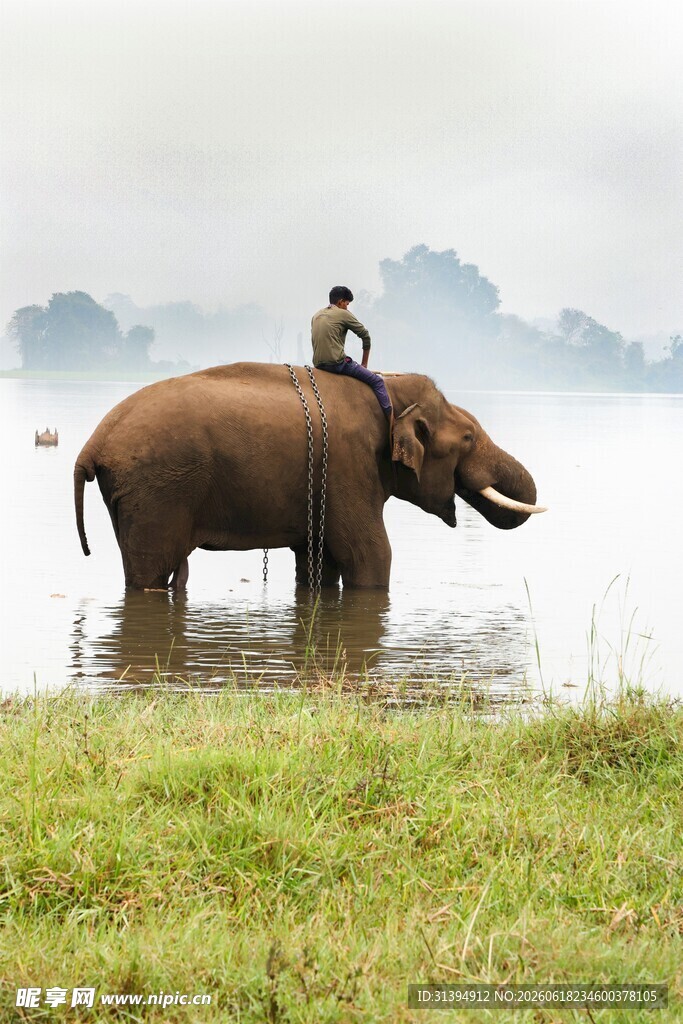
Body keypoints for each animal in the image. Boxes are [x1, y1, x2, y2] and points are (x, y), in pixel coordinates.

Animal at [74, 362, 546, 590]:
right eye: (468, 437)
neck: (390, 391)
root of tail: (92, 444)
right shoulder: (348, 466)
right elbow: (371, 554)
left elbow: (317, 559)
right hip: (155, 490)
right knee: (151, 572)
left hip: (134, 493)